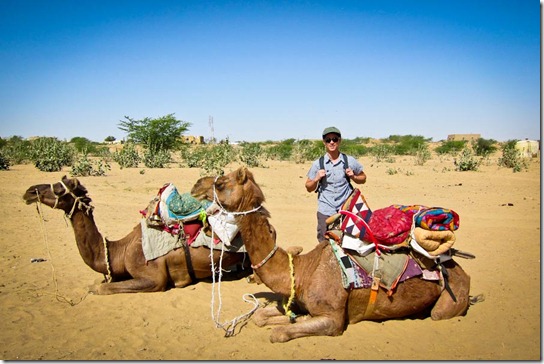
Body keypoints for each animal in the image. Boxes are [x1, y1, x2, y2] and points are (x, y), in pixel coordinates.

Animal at [194, 168, 472, 344]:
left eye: (221, 184)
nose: (196, 186)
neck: (303, 271)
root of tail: (460, 268)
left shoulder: (333, 320)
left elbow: (279, 333)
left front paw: (292, 323)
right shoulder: (294, 300)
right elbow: (261, 317)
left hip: (450, 297)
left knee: (437, 314)